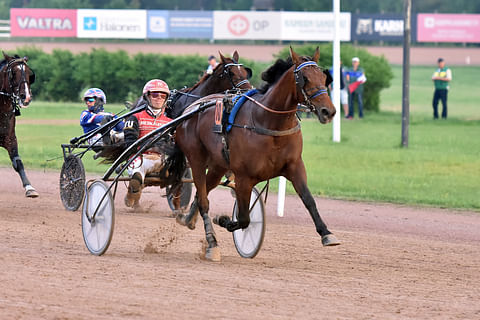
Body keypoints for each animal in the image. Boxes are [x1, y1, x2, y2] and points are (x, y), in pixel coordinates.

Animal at [0, 52, 38, 198]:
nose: (25, 97)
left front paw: (29, 188)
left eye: (29, 73)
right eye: (13, 73)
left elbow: (18, 163)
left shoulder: (10, 138)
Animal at [176, 47, 342, 262]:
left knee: (202, 192)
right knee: (204, 200)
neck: (269, 122)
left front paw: (326, 233)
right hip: (196, 158)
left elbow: (309, 200)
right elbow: (244, 218)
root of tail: (190, 109)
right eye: (304, 78)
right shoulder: (244, 177)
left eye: (323, 76)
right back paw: (212, 243)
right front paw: (224, 220)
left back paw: (188, 218)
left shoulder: (295, 166)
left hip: (218, 165)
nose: (328, 111)